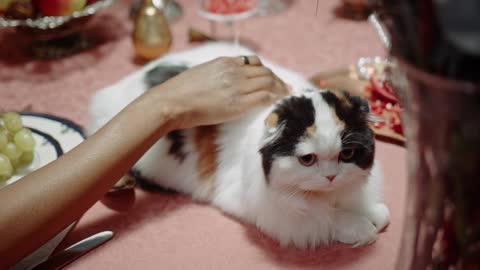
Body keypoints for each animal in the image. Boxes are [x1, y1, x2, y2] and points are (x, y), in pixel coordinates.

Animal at [89, 42, 390, 249]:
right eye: (307, 159)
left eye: (347, 154)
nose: (330, 177)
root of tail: (108, 96)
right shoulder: (281, 215)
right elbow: (330, 220)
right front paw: (361, 228)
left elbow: (371, 209)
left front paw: (372, 213)